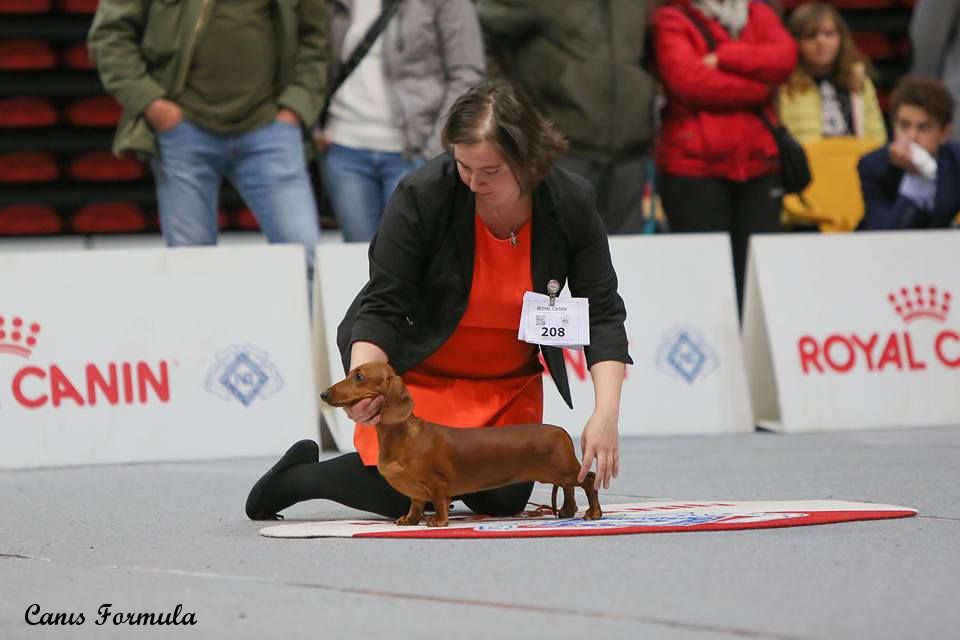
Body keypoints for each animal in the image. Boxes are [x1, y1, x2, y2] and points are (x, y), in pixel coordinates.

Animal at [318, 362, 600, 528]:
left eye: (359, 376)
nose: (323, 394)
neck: (401, 435)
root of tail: (561, 432)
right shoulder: (415, 491)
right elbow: (415, 504)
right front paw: (410, 519)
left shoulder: (437, 482)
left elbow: (439, 501)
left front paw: (438, 521)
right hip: (559, 474)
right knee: (571, 488)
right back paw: (567, 511)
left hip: (563, 470)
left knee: (587, 480)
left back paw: (593, 514)